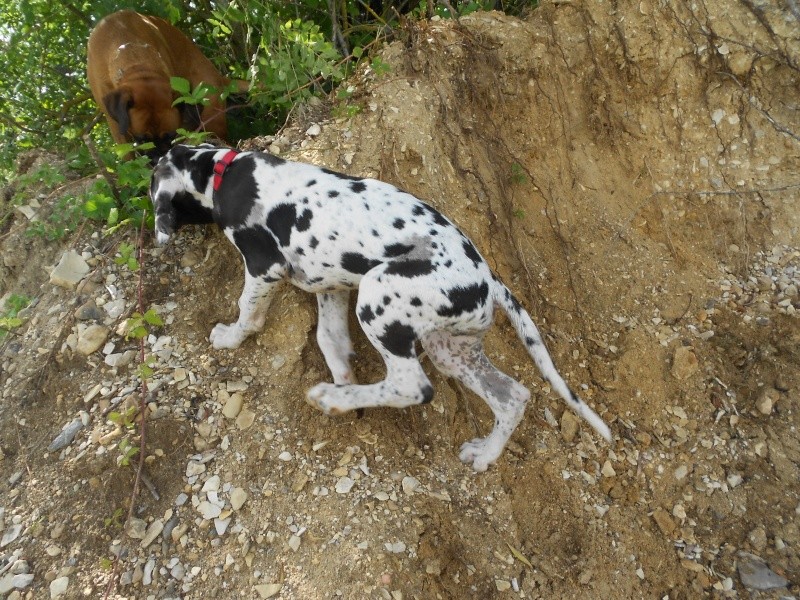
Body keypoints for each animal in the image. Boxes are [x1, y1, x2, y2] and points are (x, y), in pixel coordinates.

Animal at [152, 144, 612, 468]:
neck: (224, 170)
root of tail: (488, 278)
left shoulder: (265, 267)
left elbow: (247, 309)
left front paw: (230, 336)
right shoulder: (329, 283)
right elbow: (329, 338)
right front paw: (344, 378)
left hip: (378, 295)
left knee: (412, 386)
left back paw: (331, 399)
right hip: (451, 348)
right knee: (512, 396)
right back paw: (484, 454)